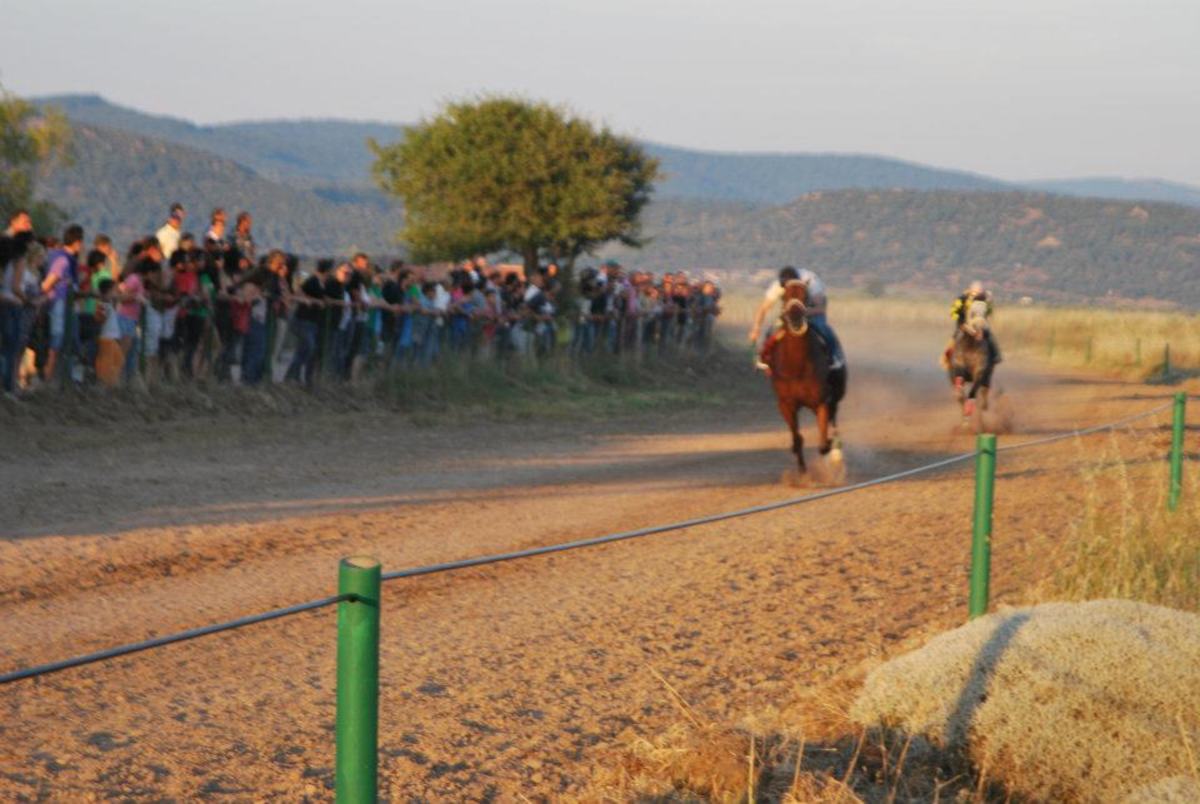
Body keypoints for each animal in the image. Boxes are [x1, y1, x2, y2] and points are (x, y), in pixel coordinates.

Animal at [763, 280, 849, 475]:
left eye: (806, 296)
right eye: (784, 296)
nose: (795, 316)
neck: (797, 366)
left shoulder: (822, 401)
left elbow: (823, 444)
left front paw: (832, 451)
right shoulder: (786, 404)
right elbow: (797, 438)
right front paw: (802, 469)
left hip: (835, 396)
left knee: (833, 420)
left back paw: (836, 453)